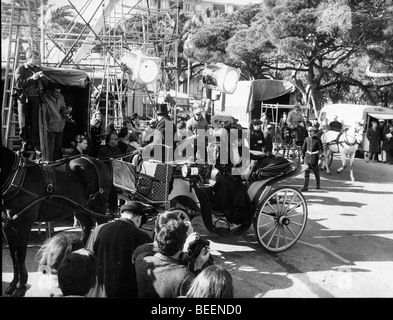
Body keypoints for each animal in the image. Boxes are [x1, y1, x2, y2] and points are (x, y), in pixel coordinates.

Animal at [1, 146, 113, 296]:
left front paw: (21, 286)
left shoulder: (24, 226)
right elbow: (13, 255)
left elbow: (20, 256)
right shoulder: (7, 226)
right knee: (87, 226)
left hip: (98, 205)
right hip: (80, 208)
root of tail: (95, 161)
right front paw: (13, 284)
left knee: (101, 226)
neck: (16, 179)